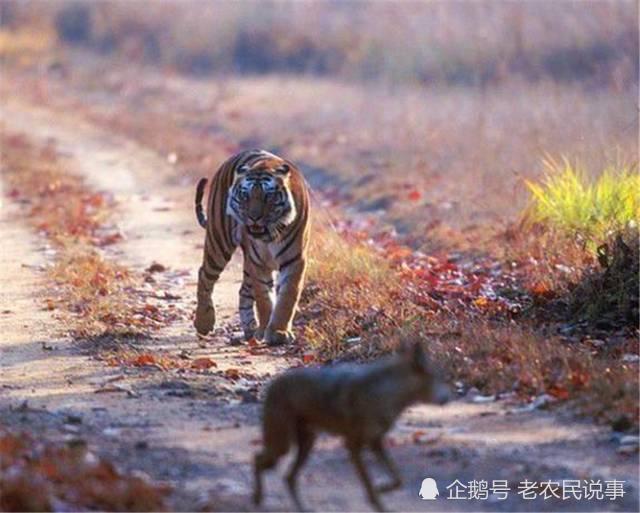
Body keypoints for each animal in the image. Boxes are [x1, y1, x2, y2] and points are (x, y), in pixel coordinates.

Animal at [194, 149, 310, 346]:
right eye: (245, 196)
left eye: (268, 197)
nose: (253, 217)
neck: (269, 235)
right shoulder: (257, 262)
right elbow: (263, 298)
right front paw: (268, 329)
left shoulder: (295, 260)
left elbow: (287, 296)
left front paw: (278, 332)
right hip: (219, 241)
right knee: (204, 274)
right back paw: (204, 321)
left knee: (243, 291)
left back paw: (249, 330)